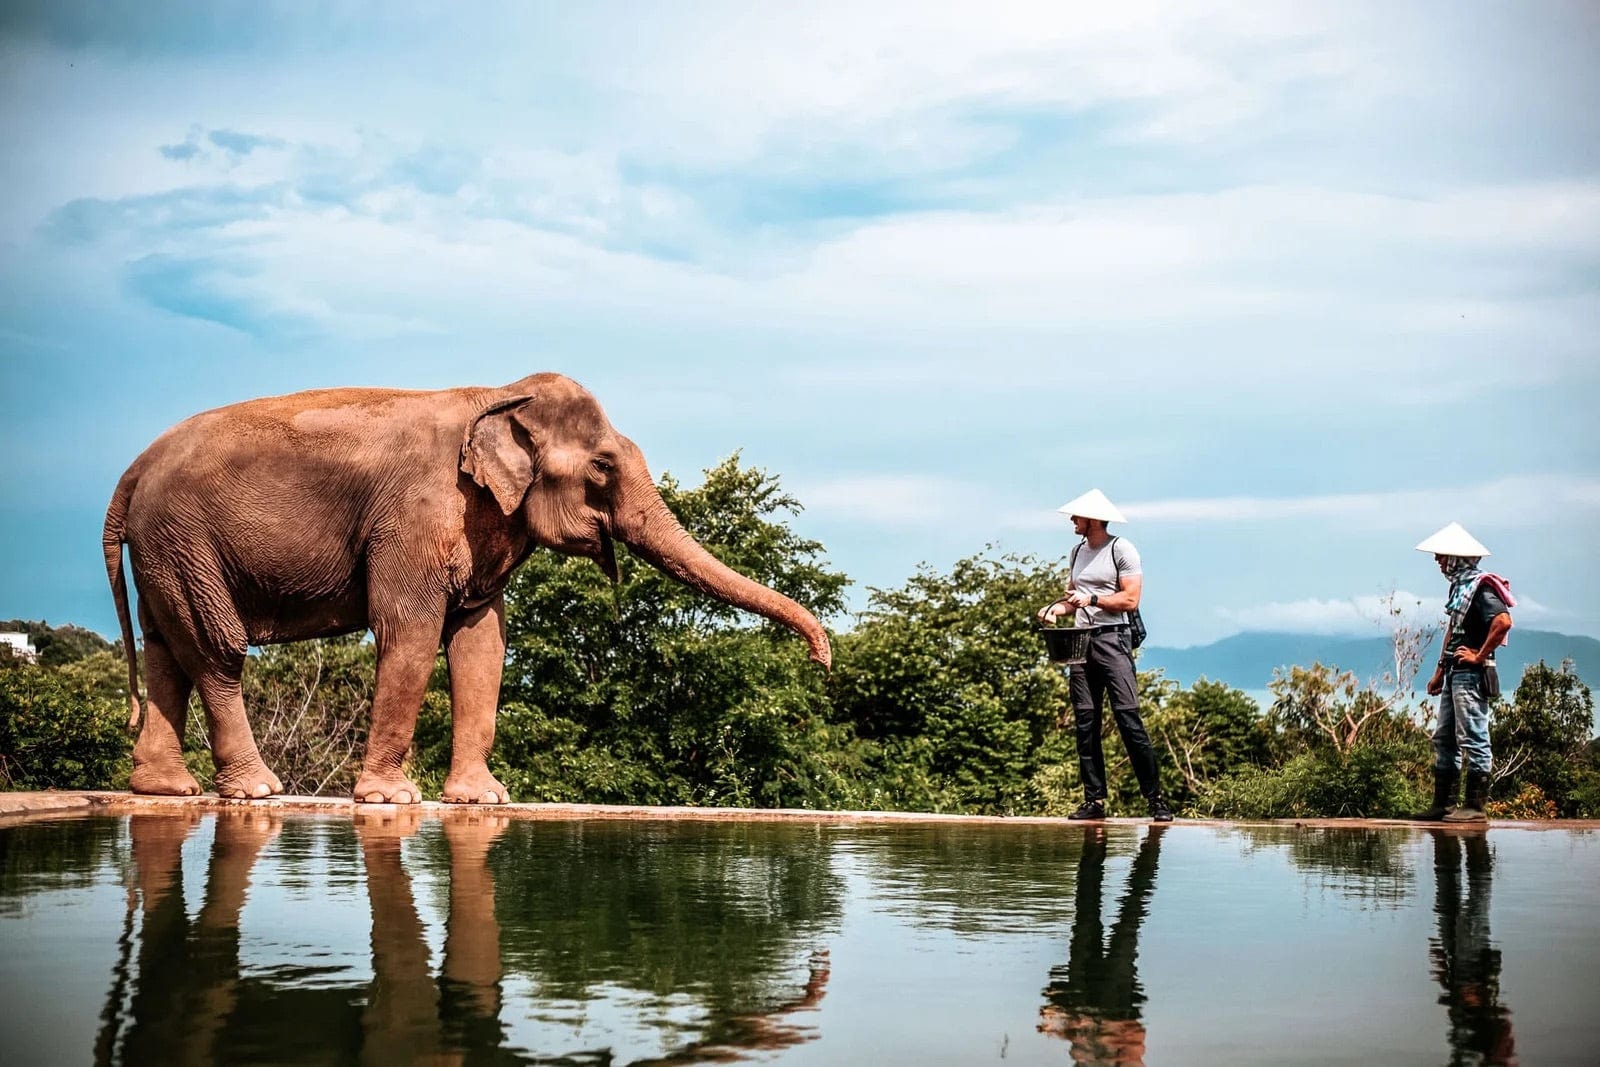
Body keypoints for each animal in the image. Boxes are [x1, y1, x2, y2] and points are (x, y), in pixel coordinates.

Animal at [103, 372, 832, 804]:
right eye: (602, 466)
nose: (822, 661)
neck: (498, 392)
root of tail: (133, 467)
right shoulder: (417, 512)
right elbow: (410, 629)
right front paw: (392, 800)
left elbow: (483, 642)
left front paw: (482, 800)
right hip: (184, 537)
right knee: (215, 649)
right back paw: (255, 791)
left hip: (166, 549)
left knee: (166, 645)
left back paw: (165, 789)